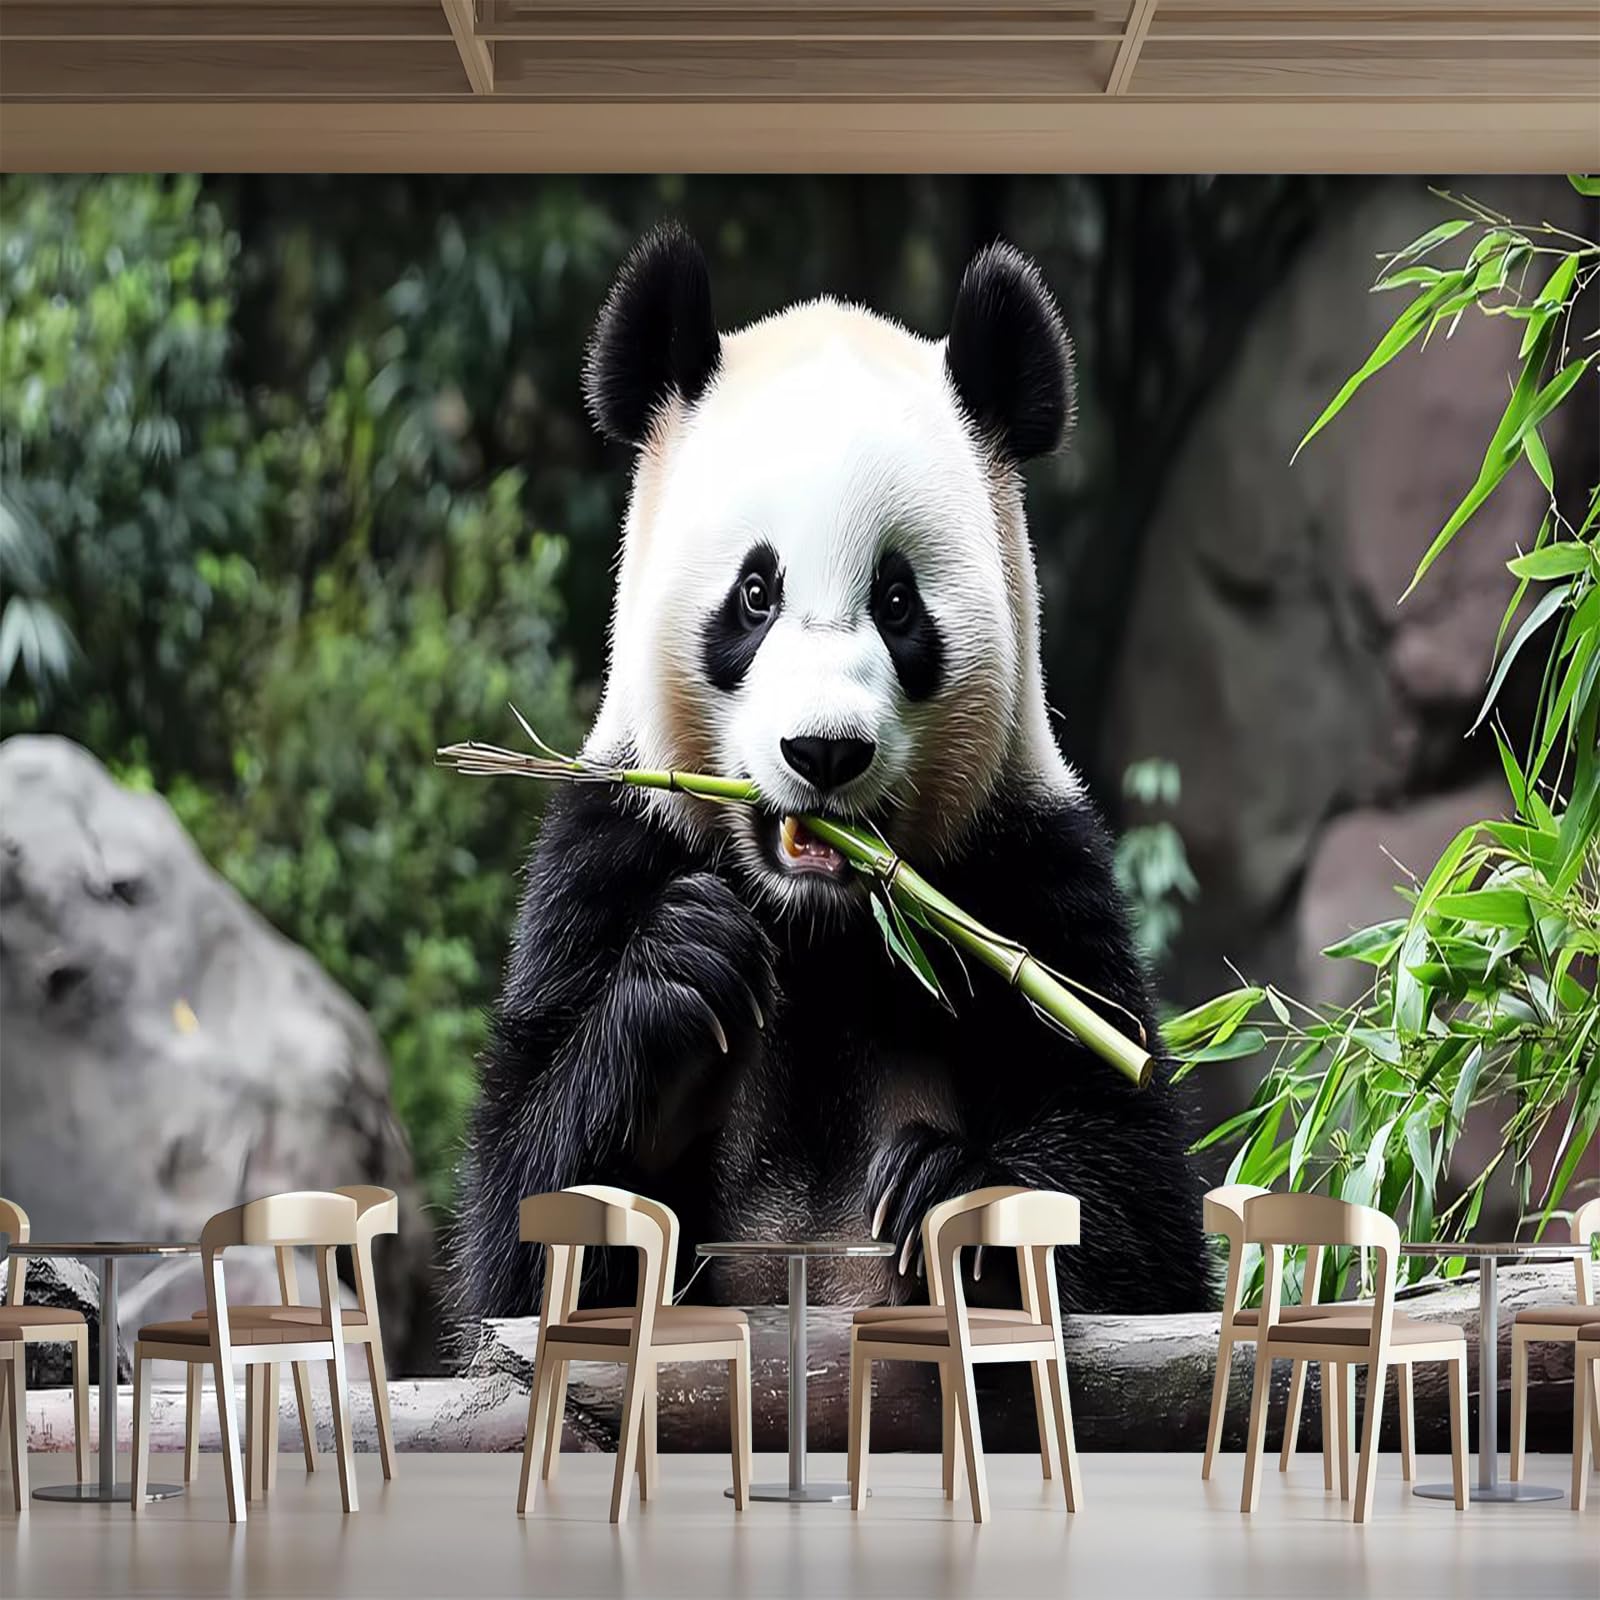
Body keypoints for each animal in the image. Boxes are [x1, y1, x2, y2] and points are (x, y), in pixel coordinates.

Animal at [455, 224, 1208, 1326]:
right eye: (755, 593)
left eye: (898, 601)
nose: (823, 751)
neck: (819, 922)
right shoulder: (611, 850)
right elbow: (515, 1235)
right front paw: (682, 964)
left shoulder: (1027, 873)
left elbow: (1141, 1223)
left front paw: (946, 1186)